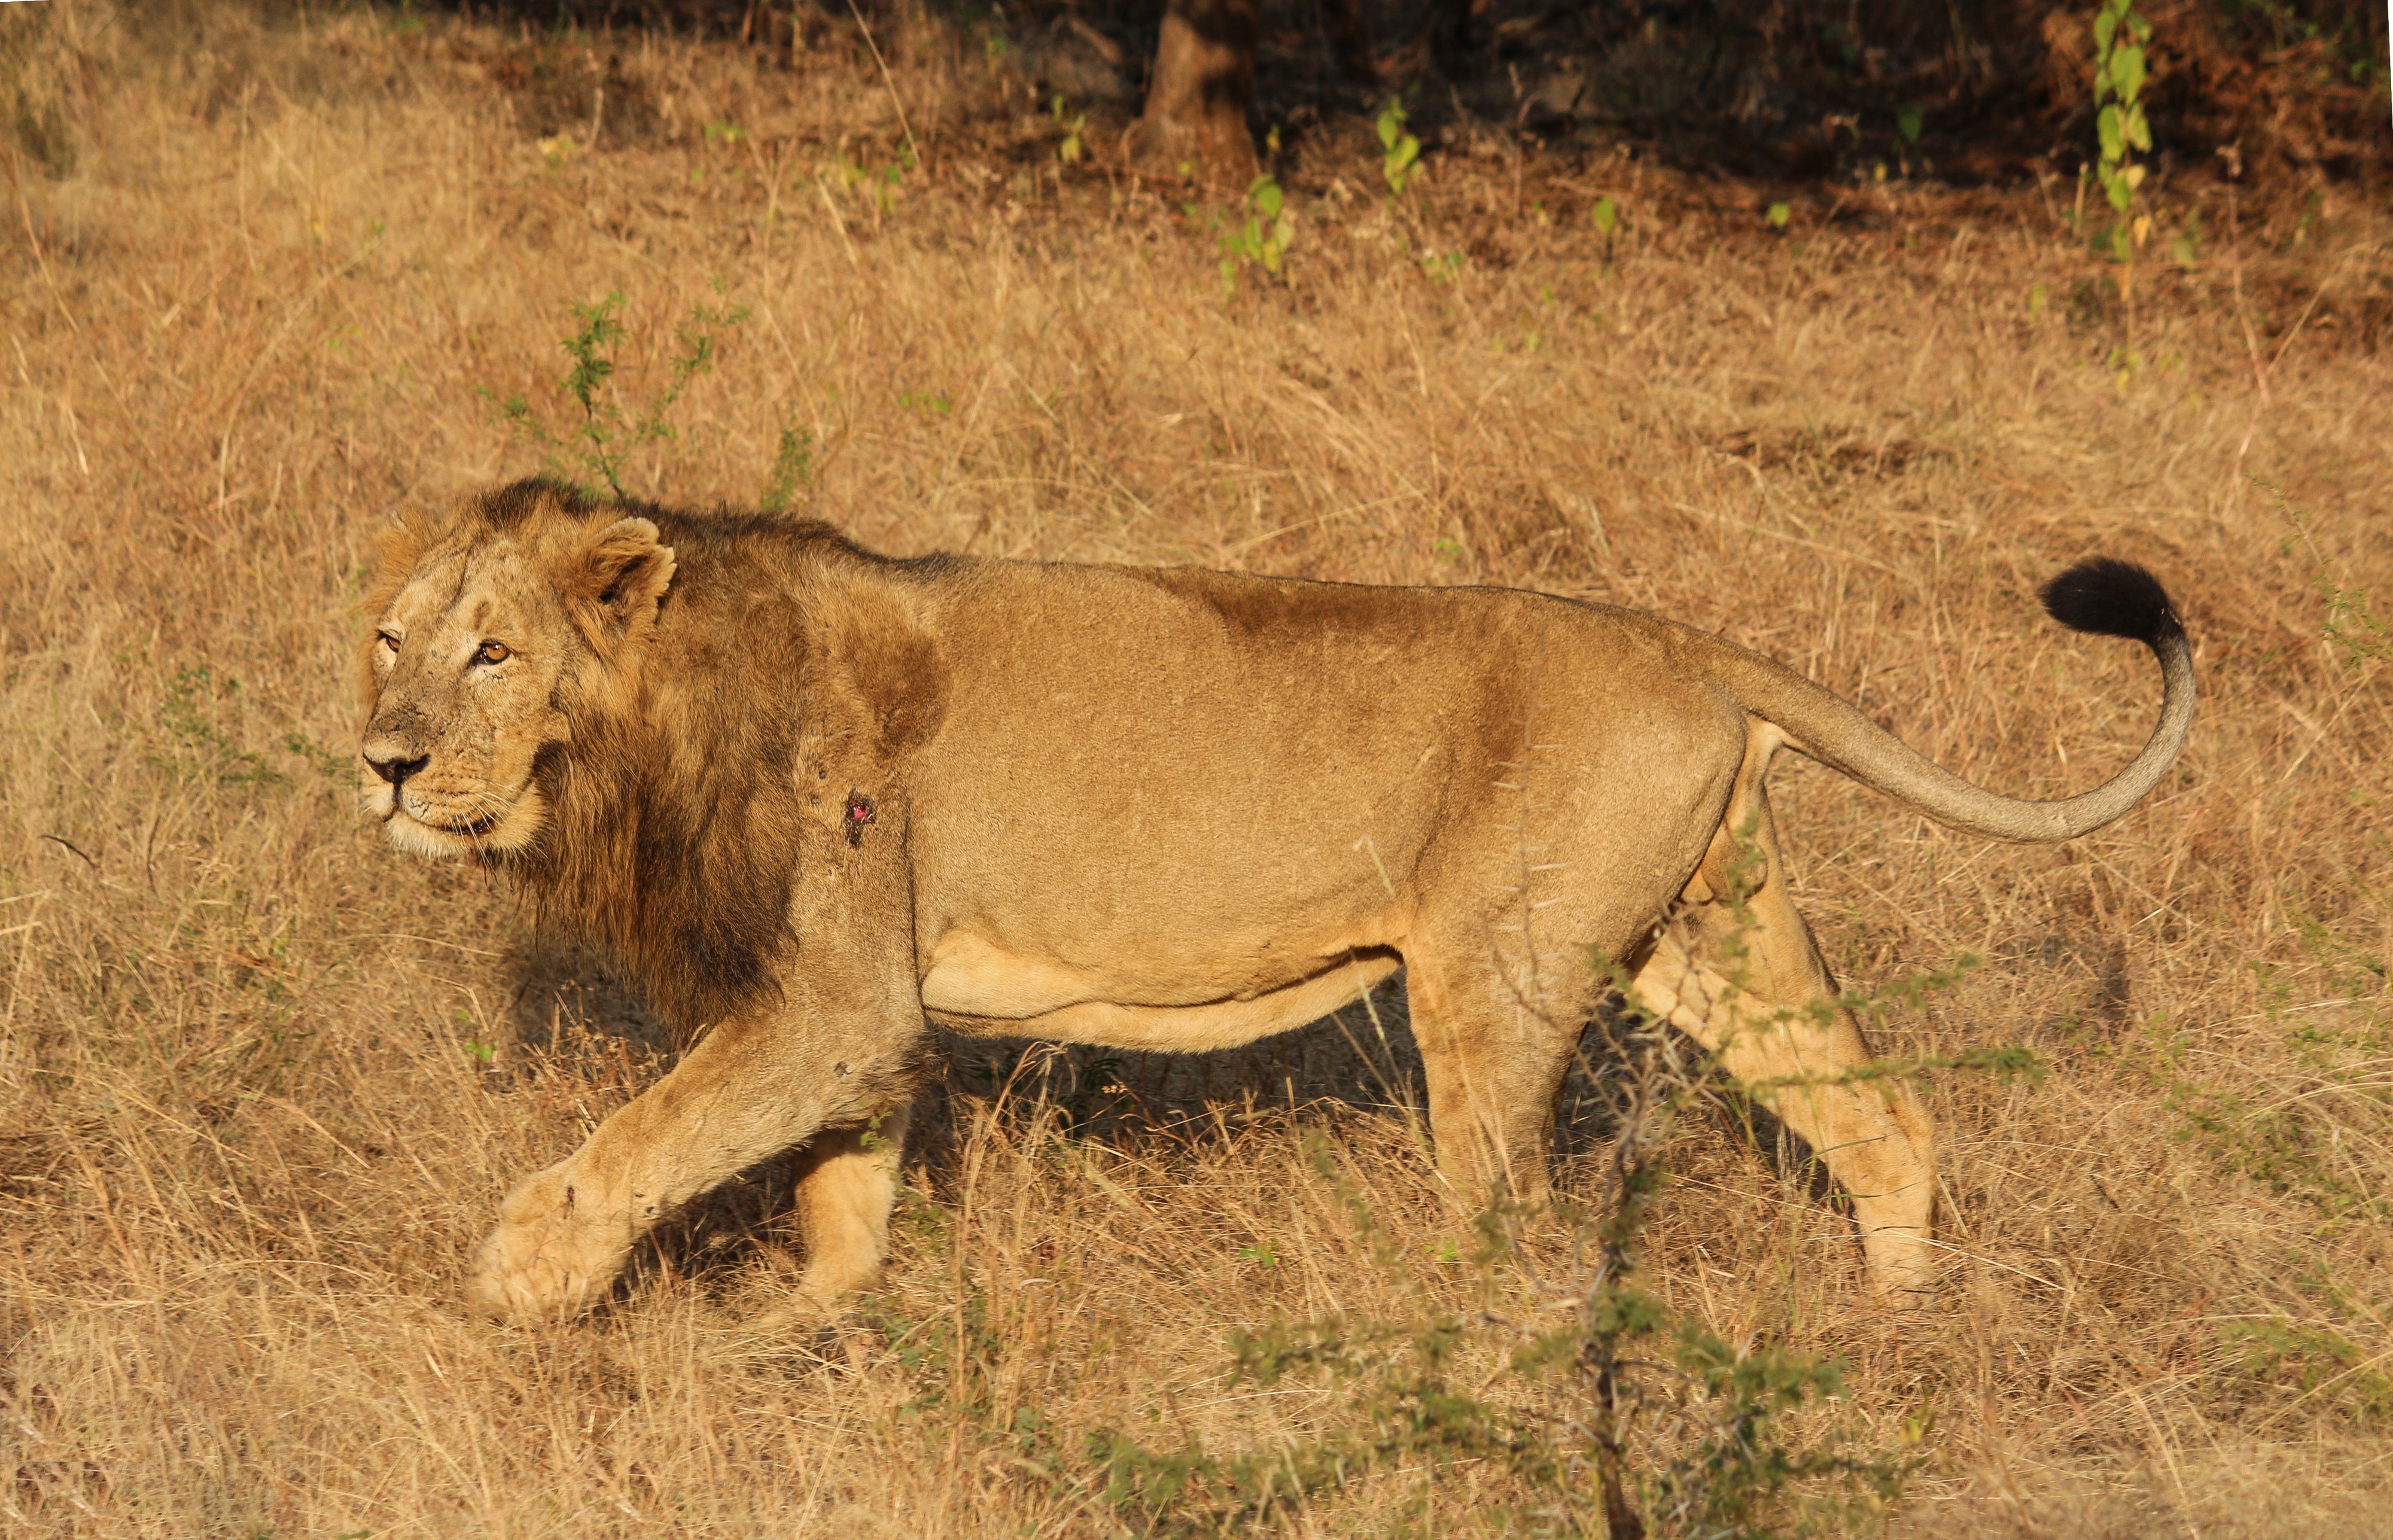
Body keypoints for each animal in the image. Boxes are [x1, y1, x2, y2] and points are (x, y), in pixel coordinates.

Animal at [357, 479, 2194, 1323]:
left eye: (492, 651)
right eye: (388, 639)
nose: (381, 761)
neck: (651, 730)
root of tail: (1689, 645)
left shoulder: (829, 993)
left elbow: (647, 1133)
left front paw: (521, 1280)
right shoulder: (859, 1013)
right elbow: (839, 1189)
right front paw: (802, 1334)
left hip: (1494, 980)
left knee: (1510, 1213)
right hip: (1712, 933)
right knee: (1885, 1118)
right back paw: (1893, 1328)